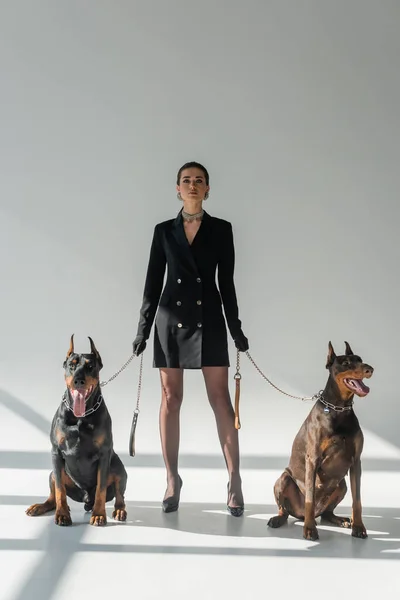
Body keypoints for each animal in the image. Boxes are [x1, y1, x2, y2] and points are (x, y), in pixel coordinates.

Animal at [25, 336, 127, 528]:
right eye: (71, 365)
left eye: (90, 366)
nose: (78, 380)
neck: (80, 416)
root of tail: (86, 500)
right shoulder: (56, 452)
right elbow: (59, 490)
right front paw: (62, 514)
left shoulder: (105, 454)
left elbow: (101, 488)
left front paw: (99, 514)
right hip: (53, 473)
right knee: (54, 494)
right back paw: (40, 507)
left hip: (119, 468)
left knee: (119, 495)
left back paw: (118, 510)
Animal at [268, 340, 374, 540]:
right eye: (346, 363)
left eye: (360, 359)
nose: (369, 369)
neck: (339, 409)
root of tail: (300, 515)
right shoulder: (313, 459)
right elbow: (310, 498)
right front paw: (309, 529)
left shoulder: (356, 461)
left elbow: (357, 500)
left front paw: (358, 527)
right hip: (284, 479)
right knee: (285, 509)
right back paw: (279, 519)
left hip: (341, 485)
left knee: (326, 513)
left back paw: (340, 520)